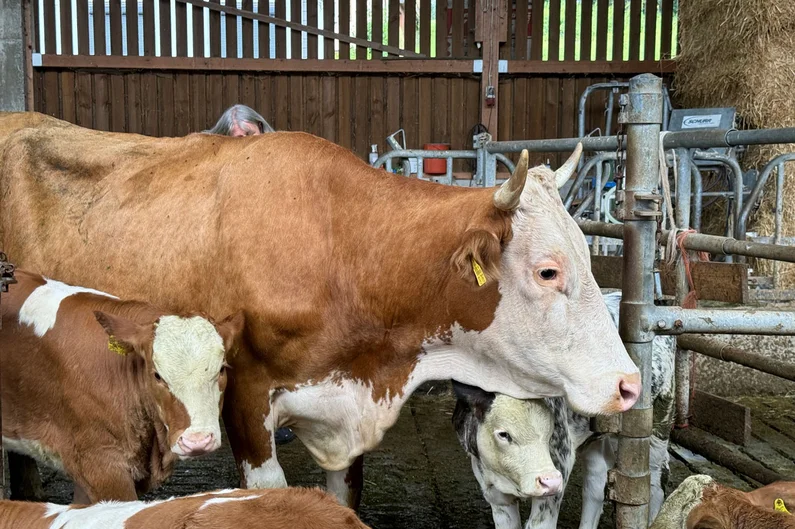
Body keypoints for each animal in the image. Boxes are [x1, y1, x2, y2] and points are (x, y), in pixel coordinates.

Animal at [454, 291, 676, 529]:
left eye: (550, 429)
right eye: (503, 434)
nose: (549, 481)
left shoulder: (560, 460)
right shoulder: (494, 494)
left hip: (659, 420)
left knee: (656, 478)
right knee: (596, 481)